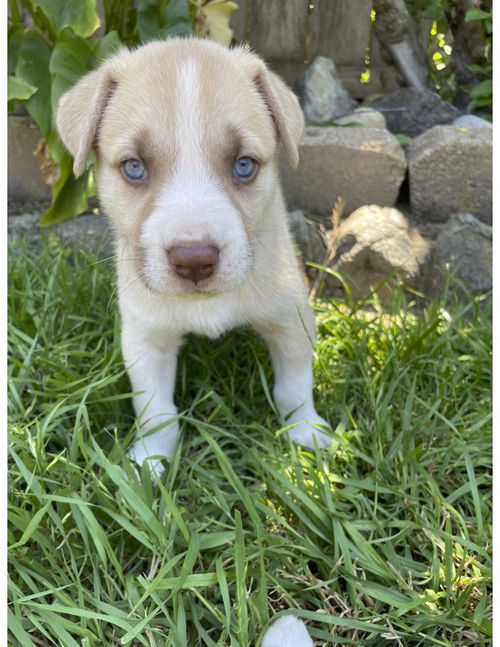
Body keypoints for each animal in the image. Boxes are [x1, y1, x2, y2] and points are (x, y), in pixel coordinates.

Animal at [57, 36, 332, 470]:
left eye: (244, 165)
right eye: (134, 167)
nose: (194, 260)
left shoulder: (292, 319)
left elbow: (294, 386)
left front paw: (305, 431)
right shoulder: (145, 338)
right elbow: (155, 410)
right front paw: (149, 462)